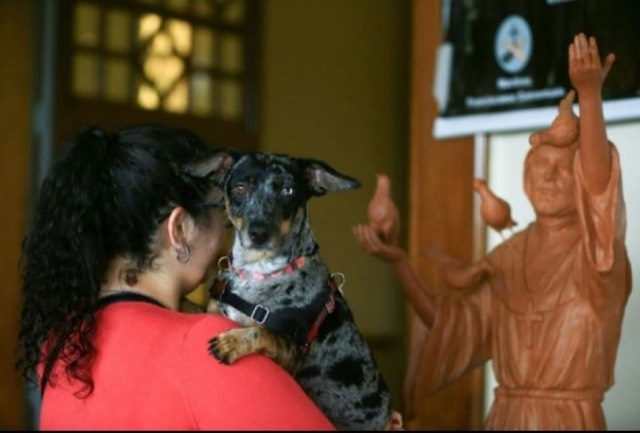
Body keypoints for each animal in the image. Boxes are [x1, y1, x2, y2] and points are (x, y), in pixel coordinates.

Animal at [208, 151, 392, 428]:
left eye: (288, 190)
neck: (258, 272)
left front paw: (233, 341)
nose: (259, 233)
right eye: (240, 188)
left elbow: (262, 331)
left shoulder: (291, 354)